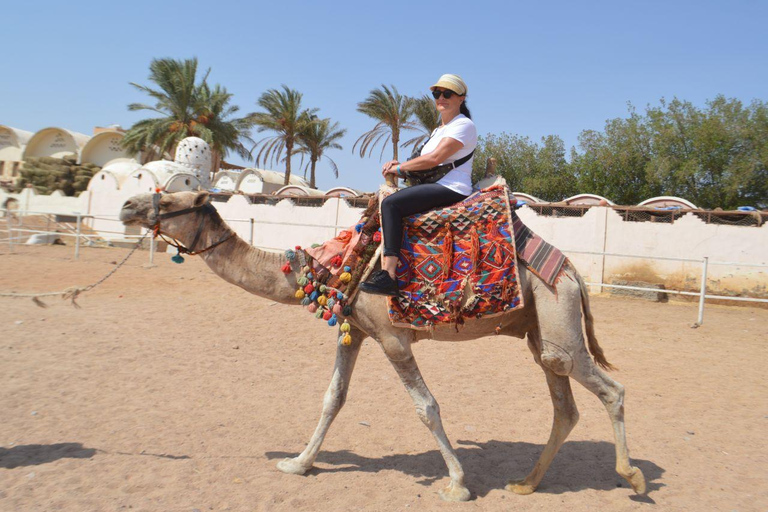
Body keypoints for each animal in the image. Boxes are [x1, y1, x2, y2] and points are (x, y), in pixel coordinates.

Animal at [119, 190, 646, 502]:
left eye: (179, 193)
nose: (127, 205)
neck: (336, 265)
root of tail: (574, 271)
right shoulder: (353, 330)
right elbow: (333, 398)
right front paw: (298, 464)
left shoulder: (393, 338)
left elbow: (426, 407)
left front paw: (457, 485)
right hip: (542, 331)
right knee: (565, 406)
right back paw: (526, 483)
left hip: (557, 315)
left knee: (612, 390)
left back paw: (632, 476)